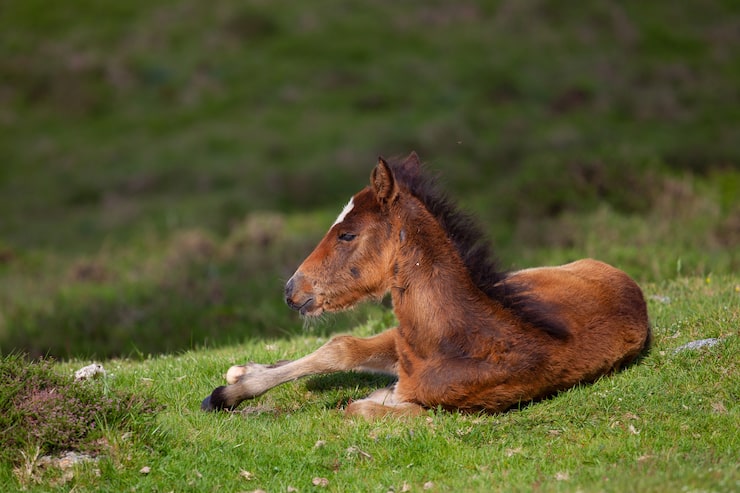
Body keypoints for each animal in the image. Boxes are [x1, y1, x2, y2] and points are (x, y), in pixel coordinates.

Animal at [202, 152, 651, 418]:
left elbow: (357, 406)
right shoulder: (403, 351)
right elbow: (341, 351)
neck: (469, 336)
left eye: (346, 234)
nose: (291, 290)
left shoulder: (440, 402)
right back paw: (243, 372)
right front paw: (232, 391)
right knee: (342, 347)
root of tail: (625, 278)